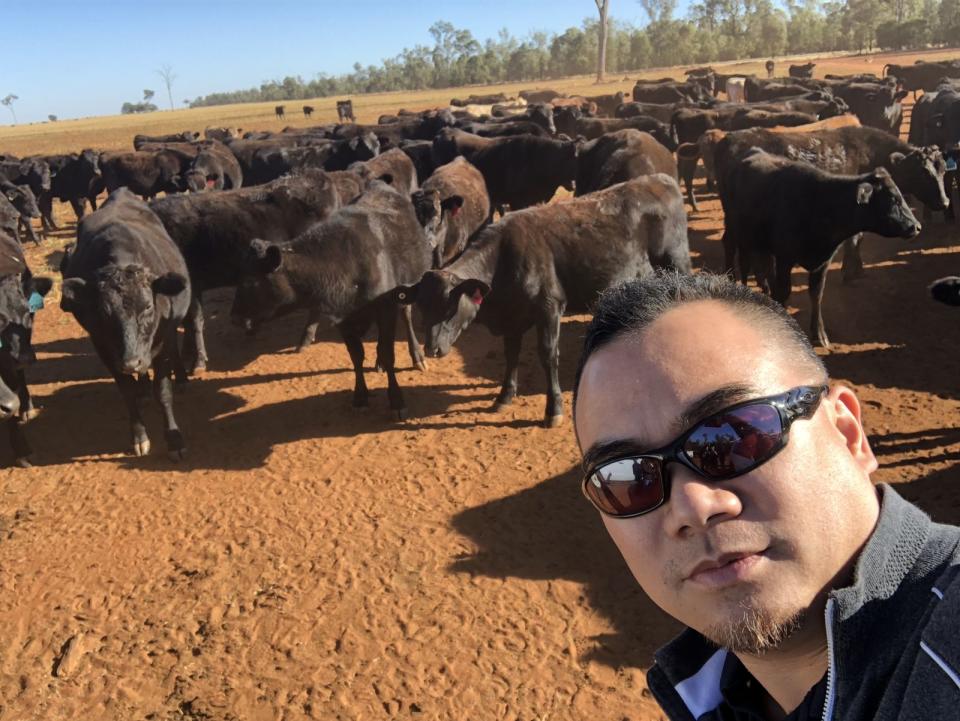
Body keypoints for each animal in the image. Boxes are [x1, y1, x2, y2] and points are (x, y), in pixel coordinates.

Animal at [61, 188, 190, 458]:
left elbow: (163, 390)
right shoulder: (104, 348)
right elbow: (127, 392)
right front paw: (140, 436)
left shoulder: (162, 341)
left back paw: (181, 379)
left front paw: (174, 439)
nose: (131, 362)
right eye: (103, 312)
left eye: (149, 306)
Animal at [229, 179, 432, 416]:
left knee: (406, 316)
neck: (344, 262)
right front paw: (360, 396)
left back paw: (417, 356)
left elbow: (388, 353)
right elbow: (356, 355)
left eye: (251, 282)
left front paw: (397, 401)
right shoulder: (342, 318)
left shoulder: (386, 308)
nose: (234, 318)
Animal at [396, 173, 688, 428]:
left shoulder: (549, 308)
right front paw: (504, 396)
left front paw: (553, 409)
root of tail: (660, 179)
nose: (432, 349)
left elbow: (548, 355)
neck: (503, 258)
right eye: (422, 307)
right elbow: (511, 355)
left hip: (677, 263)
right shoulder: (512, 319)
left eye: (450, 307)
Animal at [720, 146, 924, 346]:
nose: (916, 226)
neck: (820, 205)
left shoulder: (823, 262)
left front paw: (819, 334)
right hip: (735, 227)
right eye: (893, 199)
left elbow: (816, 295)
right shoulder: (785, 258)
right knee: (735, 253)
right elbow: (785, 290)